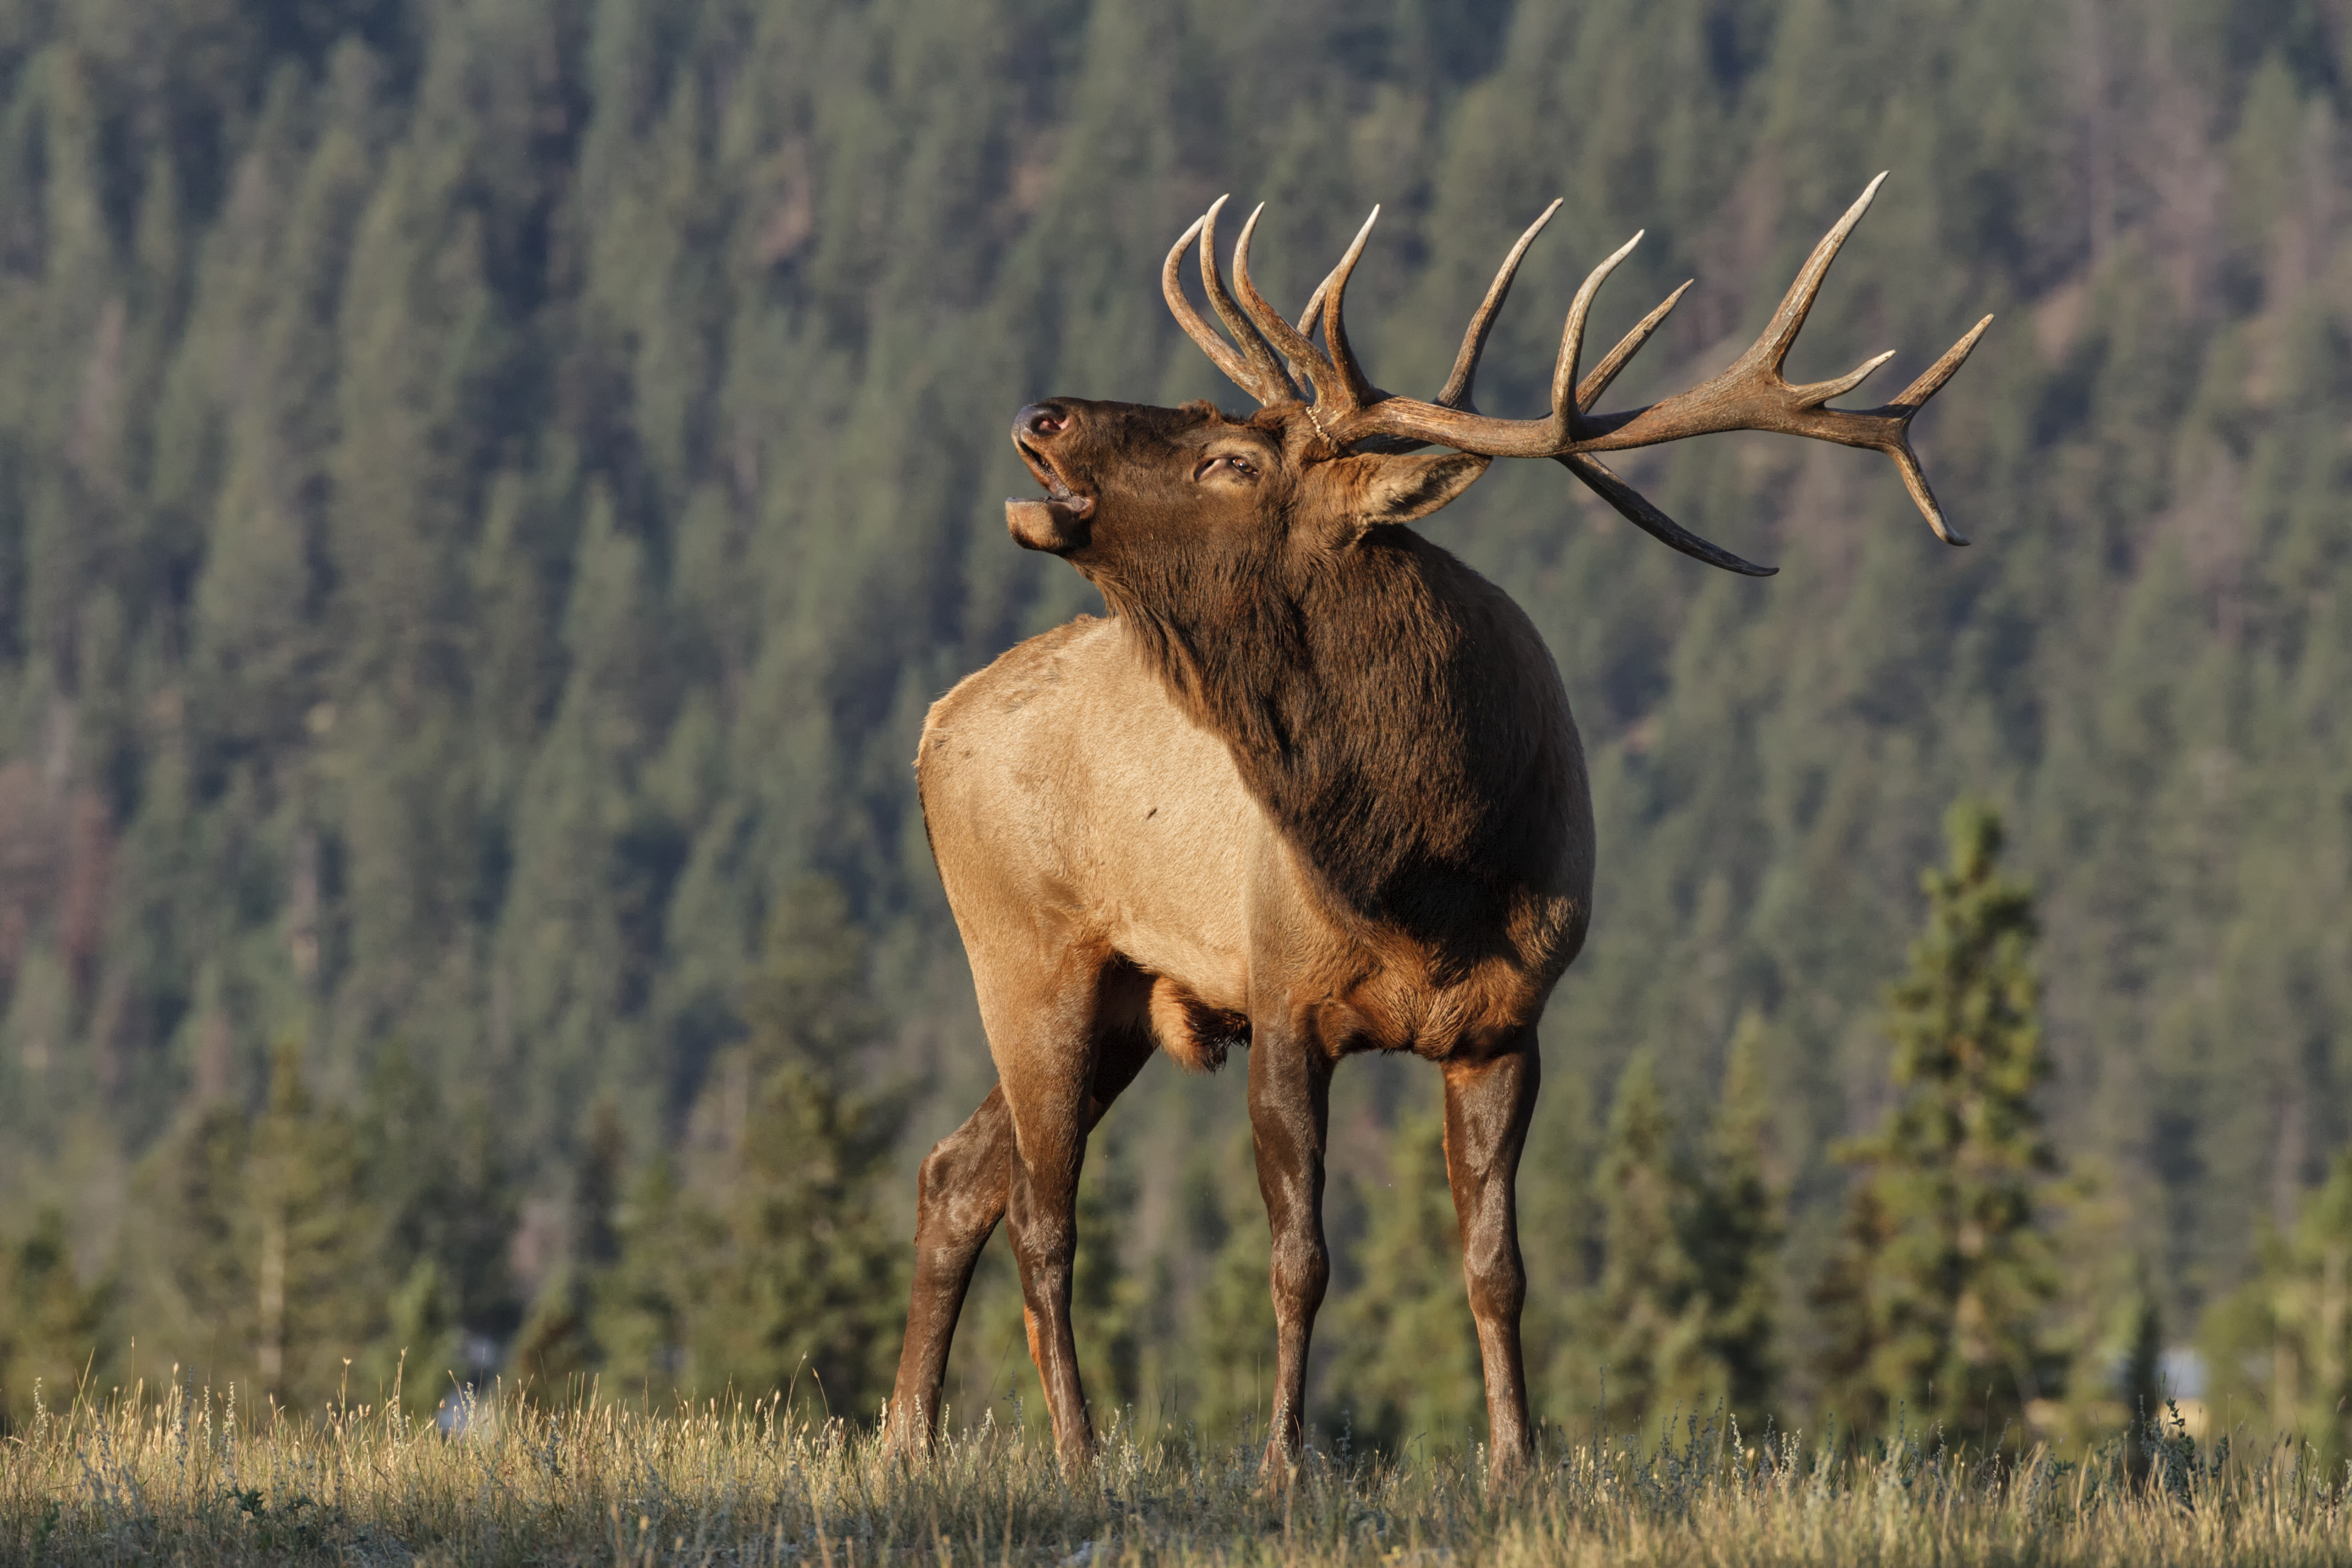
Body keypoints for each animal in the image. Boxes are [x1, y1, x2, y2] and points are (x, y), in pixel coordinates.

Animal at [884, 174, 1989, 1475]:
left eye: (1227, 456)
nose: (1039, 411)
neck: (1425, 868)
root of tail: (932, 726)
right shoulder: (1285, 997)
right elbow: (1298, 1259)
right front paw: (1282, 1459)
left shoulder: (1510, 1022)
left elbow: (1496, 1264)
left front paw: (1517, 1458)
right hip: (1027, 949)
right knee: (1043, 1211)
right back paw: (1075, 1449)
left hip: (1112, 995)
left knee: (962, 1173)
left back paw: (908, 1441)